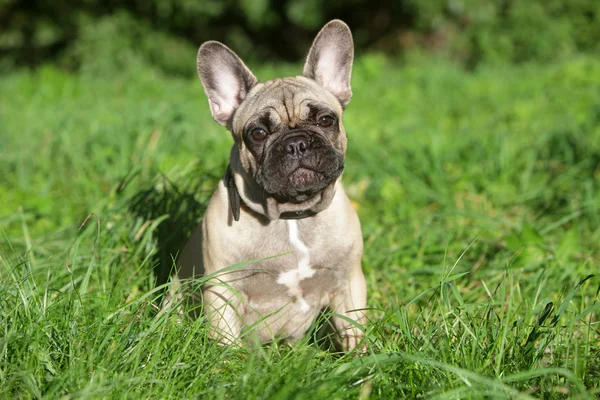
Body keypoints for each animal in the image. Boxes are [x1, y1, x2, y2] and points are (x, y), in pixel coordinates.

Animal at [175, 20, 366, 352]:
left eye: (325, 120)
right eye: (258, 133)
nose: (296, 143)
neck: (291, 216)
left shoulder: (349, 283)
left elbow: (354, 332)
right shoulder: (223, 292)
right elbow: (227, 344)